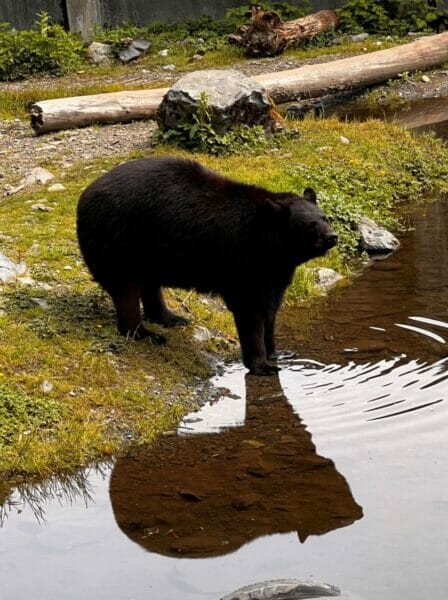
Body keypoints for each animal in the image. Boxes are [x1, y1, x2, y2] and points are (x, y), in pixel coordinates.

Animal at [78, 159, 336, 376]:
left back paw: (169, 317)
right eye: (310, 225)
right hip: (119, 241)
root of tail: (84, 197)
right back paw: (146, 333)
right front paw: (262, 364)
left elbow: (271, 308)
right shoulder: (243, 260)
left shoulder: (275, 270)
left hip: (149, 252)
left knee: (149, 284)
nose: (332, 237)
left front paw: (276, 351)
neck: (271, 245)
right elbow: (250, 310)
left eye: (325, 218)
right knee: (126, 290)